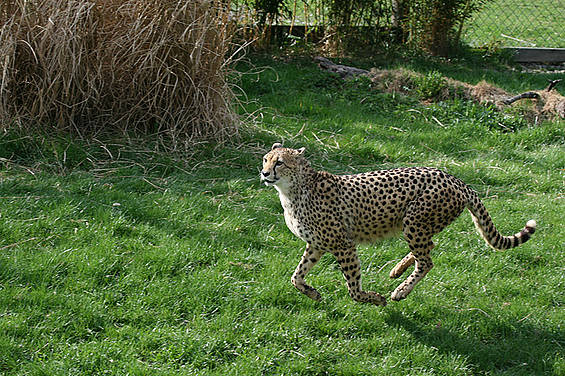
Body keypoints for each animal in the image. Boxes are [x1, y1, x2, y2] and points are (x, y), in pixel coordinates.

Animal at [262, 142, 536, 304]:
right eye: (266, 159)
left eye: (279, 162)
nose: (264, 173)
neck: (294, 189)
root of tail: (455, 179)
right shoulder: (316, 245)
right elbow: (296, 276)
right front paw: (312, 292)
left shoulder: (343, 245)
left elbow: (352, 287)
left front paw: (373, 298)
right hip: (419, 225)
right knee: (430, 247)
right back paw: (397, 270)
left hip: (413, 221)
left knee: (427, 261)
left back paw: (401, 290)